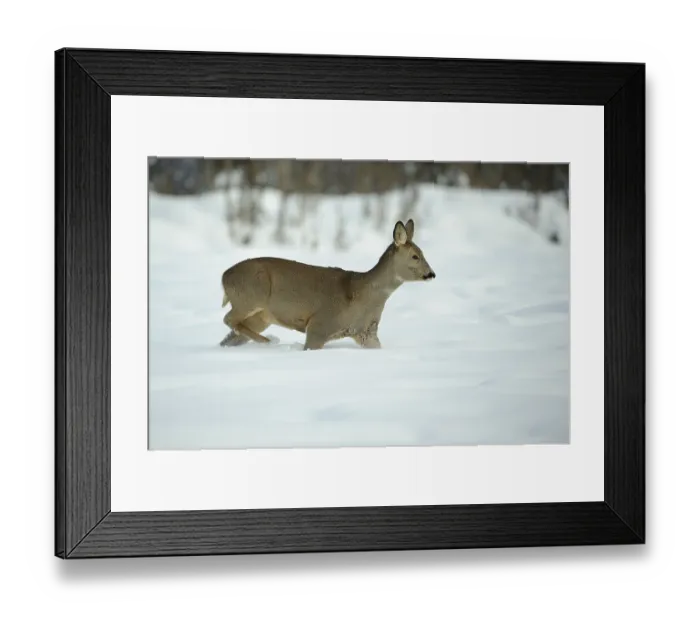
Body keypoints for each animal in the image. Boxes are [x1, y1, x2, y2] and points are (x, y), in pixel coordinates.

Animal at [219, 219, 436, 351]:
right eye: (415, 256)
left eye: (422, 253)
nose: (431, 274)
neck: (363, 294)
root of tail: (223, 277)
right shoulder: (320, 323)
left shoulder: (366, 331)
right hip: (251, 294)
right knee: (228, 319)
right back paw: (270, 341)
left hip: (261, 315)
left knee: (229, 337)